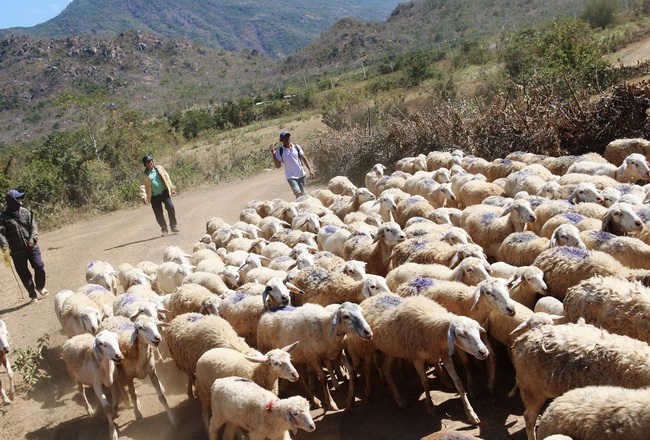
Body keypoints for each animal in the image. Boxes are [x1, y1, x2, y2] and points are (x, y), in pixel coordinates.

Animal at [346, 294, 484, 424]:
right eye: (461, 334)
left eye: (478, 331)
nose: (483, 351)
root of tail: (371, 298)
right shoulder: (417, 359)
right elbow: (426, 383)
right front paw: (430, 407)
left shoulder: (445, 355)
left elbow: (458, 382)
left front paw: (471, 414)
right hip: (368, 344)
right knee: (367, 367)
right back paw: (369, 391)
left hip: (392, 349)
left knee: (385, 369)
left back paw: (399, 400)